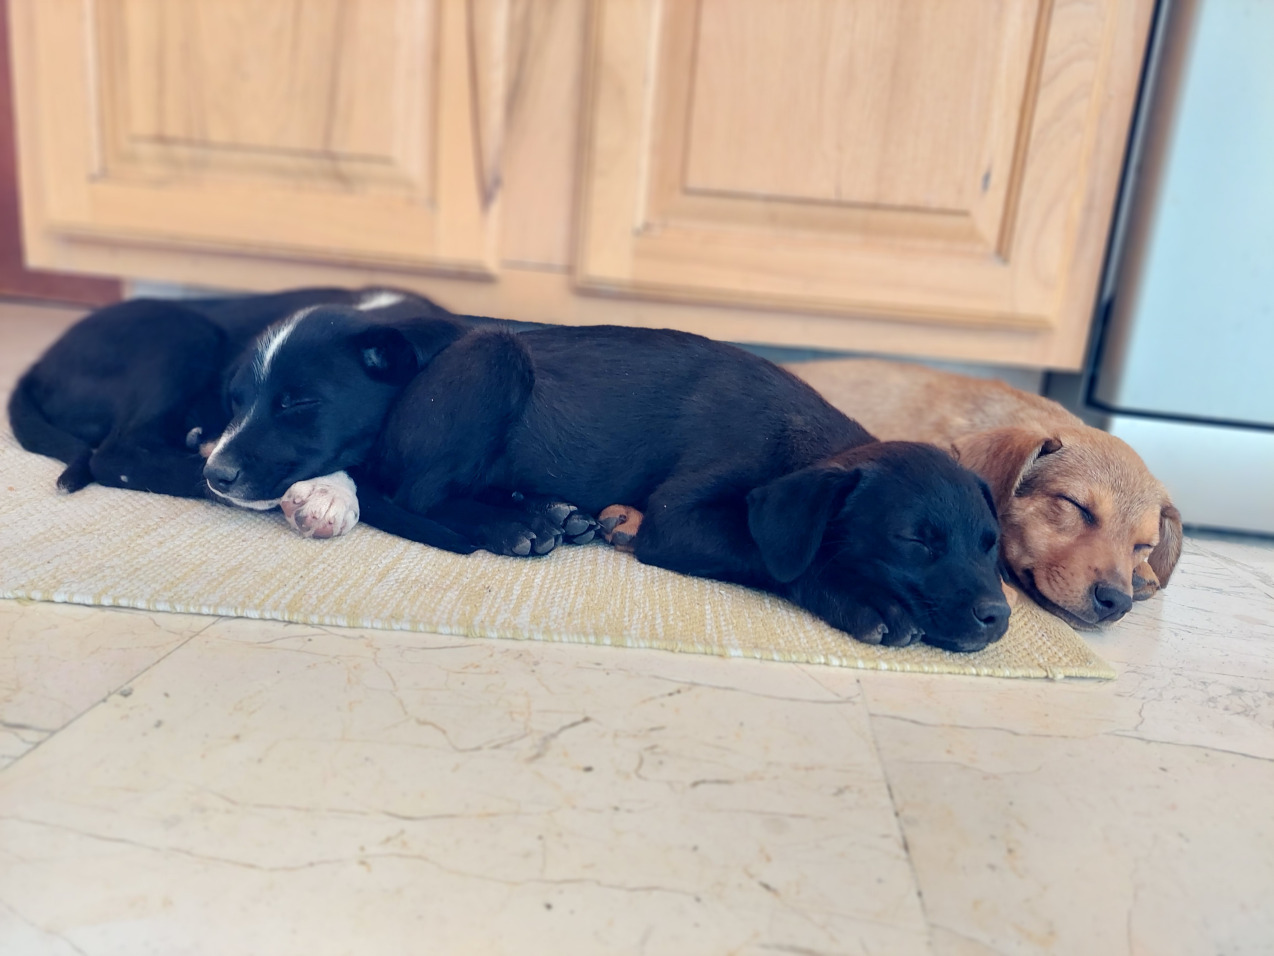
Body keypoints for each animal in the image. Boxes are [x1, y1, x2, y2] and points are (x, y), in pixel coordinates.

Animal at [207, 318, 1011, 652]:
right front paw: (866, 601)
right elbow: (792, 560)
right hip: (494, 356)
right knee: (421, 495)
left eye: (991, 546)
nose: (1000, 618)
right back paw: (519, 525)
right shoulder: (680, 521)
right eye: (912, 541)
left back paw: (549, 513)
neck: (809, 445)